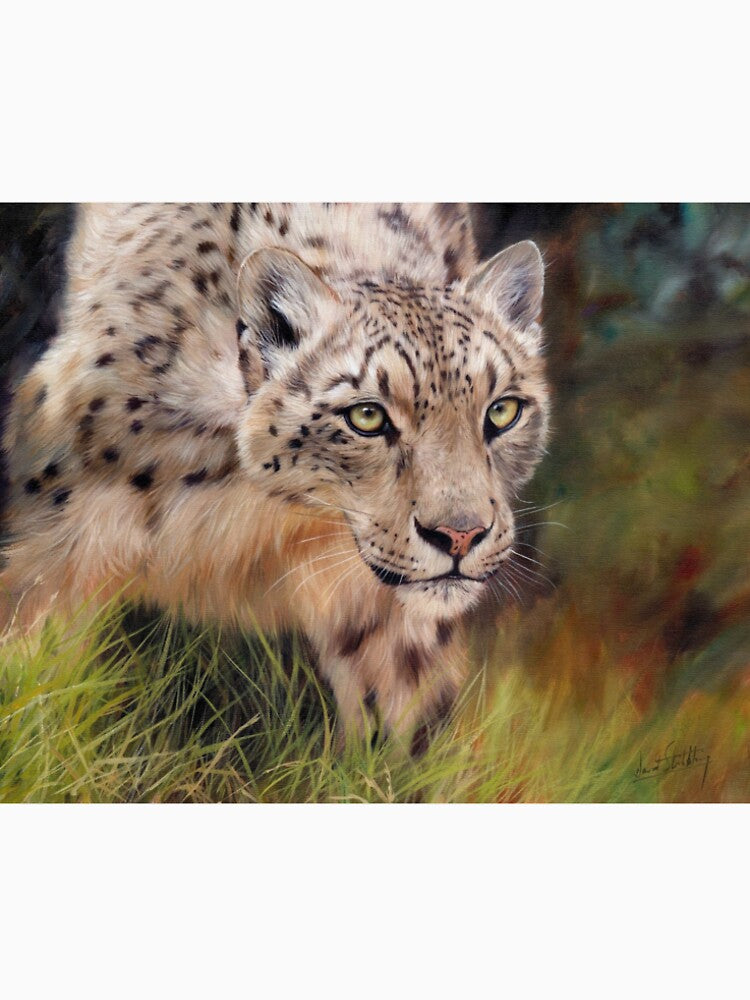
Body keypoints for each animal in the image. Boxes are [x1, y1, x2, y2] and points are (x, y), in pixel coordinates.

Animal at [0, 203, 550, 752]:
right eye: (367, 416)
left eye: (502, 411)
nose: (461, 535)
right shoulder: (55, 544)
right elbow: (29, 670)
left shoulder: (384, 618)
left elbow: (404, 720)